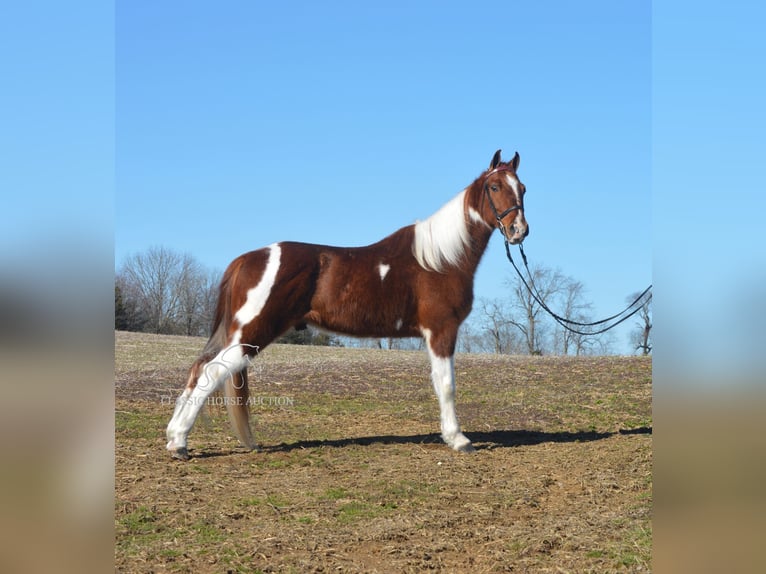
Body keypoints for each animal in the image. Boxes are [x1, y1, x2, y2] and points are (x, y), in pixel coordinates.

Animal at [167, 150, 528, 464]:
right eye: (495, 187)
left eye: (522, 188)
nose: (518, 231)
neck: (440, 259)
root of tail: (247, 258)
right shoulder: (442, 331)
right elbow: (447, 386)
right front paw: (458, 439)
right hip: (252, 333)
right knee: (211, 372)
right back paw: (180, 442)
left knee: (199, 369)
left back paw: (173, 437)